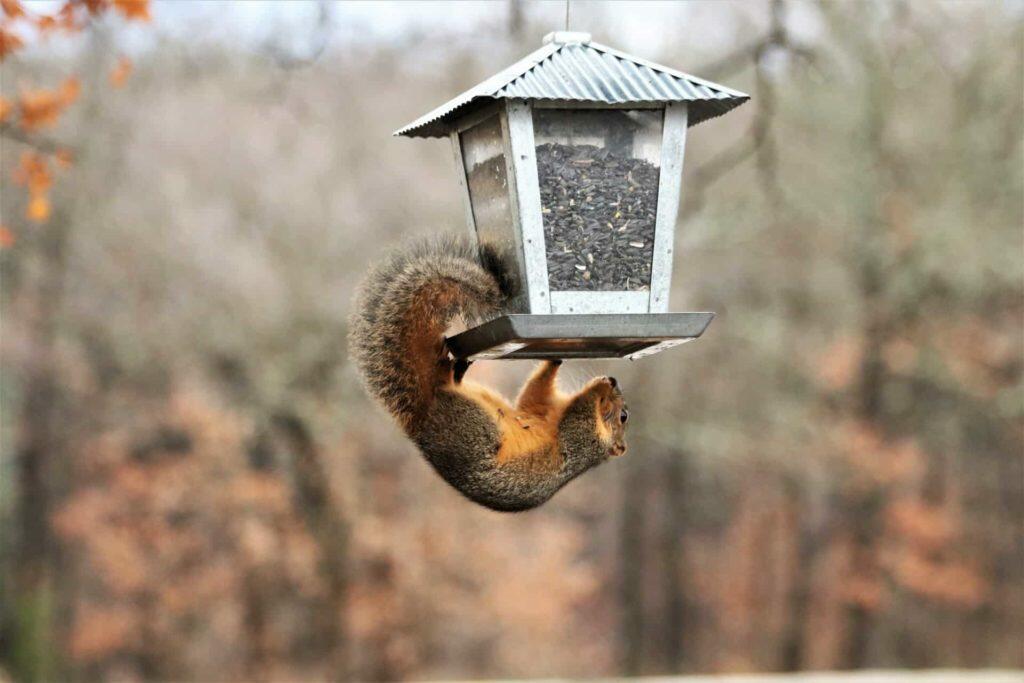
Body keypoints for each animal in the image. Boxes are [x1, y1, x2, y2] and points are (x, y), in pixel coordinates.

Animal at [348, 236, 629, 512]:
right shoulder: (541, 409)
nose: (613, 381)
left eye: (624, 416)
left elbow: (578, 414)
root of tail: (424, 416)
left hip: (474, 425)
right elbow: (533, 396)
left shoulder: (581, 439)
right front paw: (556, 359)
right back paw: (456, 366)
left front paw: (598, 392)